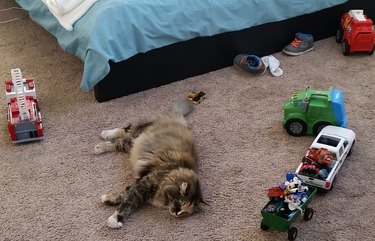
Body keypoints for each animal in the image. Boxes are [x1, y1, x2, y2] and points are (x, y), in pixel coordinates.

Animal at [94, 100, 206, 228]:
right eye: (179, 203)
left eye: (185, 212)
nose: (177, 213)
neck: (172, 172)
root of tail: (179, 119)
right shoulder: (142, 188)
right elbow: (126, 205)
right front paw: (114, 220)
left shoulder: (138, 185)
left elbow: (123, 195)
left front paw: (107, 199)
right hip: (136, 138)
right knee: (124, 133)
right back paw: (102, 140)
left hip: (133, 143)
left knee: (122, 139)